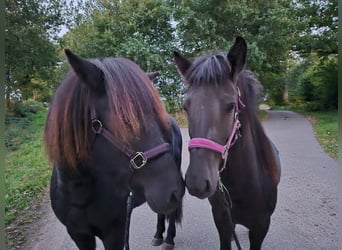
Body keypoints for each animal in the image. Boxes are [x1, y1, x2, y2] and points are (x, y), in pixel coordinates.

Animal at [44, 49, 187, 249]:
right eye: (125, 121)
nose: (174, 191)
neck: (79, 194)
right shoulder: (79, 235)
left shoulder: (115, 233)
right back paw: (158, 235)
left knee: (171, 213)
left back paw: (168, 239)